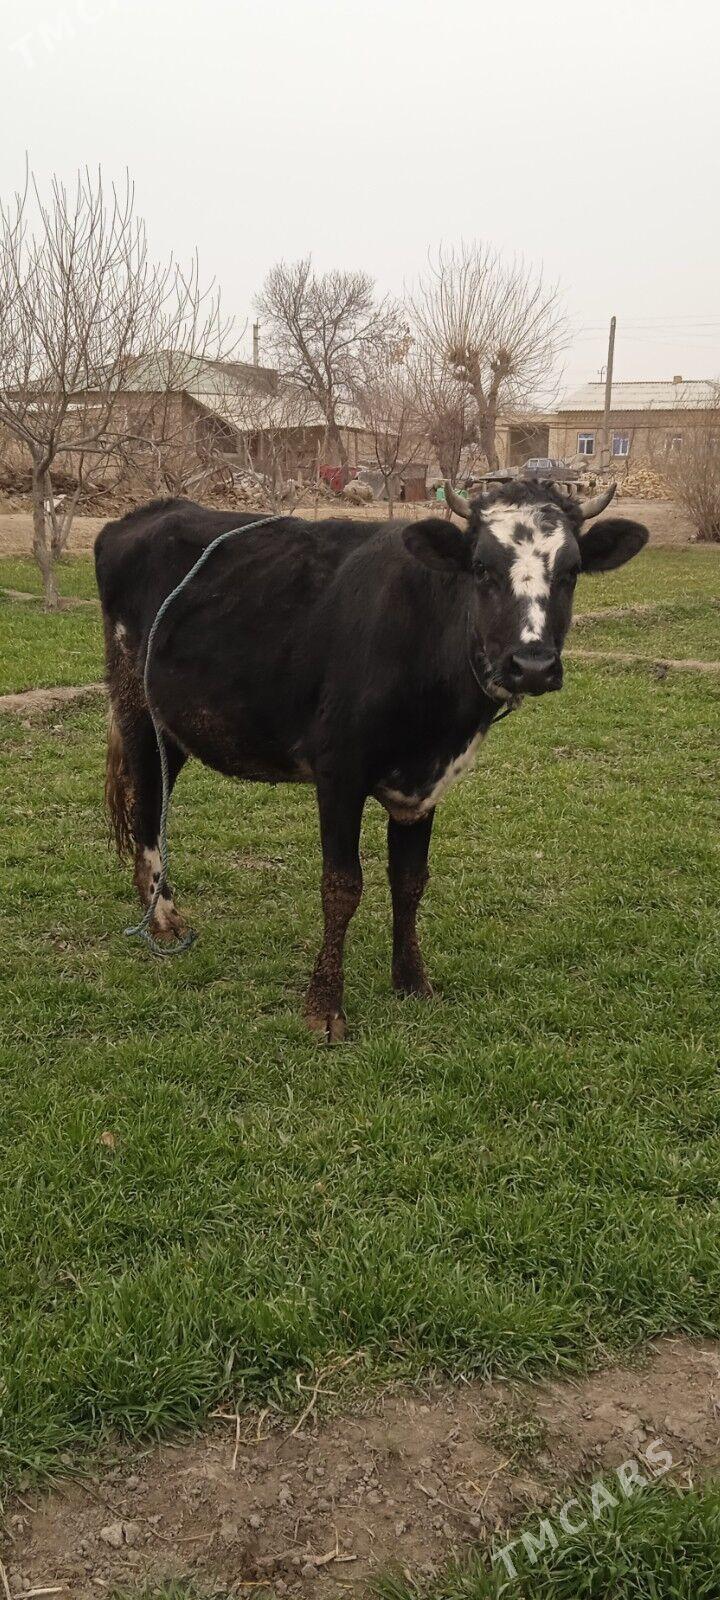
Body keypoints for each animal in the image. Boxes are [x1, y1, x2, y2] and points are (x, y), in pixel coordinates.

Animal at [94, 479, 648, 1040]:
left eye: (572, 570)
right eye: (481, 568)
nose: (531, 665)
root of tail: (147, 513)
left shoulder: (424, 784)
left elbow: (410, 881)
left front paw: (412, 981)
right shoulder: (339, 770)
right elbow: (342, 886)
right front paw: (324, 1008)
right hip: (137, 708)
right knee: (146, 809)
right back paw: (162, 919)